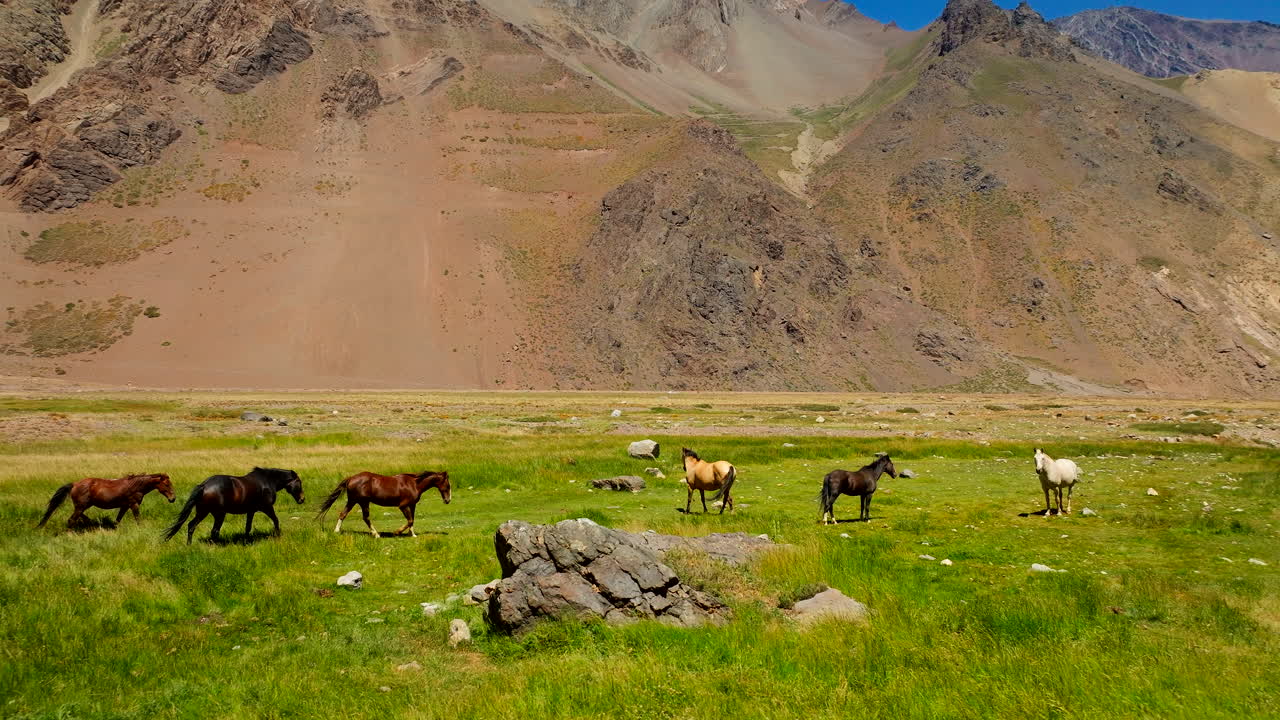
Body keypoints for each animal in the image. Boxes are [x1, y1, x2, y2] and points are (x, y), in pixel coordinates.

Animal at [37, 473, 175, 529]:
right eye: (167, 484)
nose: (173, 499)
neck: (136, 486)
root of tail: (75, 484)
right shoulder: (133, 505)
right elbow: (138, 519)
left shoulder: (124, 506)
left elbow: (117, 520)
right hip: (81, 506)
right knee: (71, 520)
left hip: (83, 506)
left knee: (79, 516)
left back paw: (90, 522)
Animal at [162, 467, 304, 543]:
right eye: (299, 482)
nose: (302, 499)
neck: (268, 481)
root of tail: (204, 485)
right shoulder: (267, 507)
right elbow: (276, 520)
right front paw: (278, 535)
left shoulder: (251, 511)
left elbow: (248, 527)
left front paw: (247, 541)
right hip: (219, 514)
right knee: (214, 531)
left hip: (203, 512)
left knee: (191, 525)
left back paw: (189, 544)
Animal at [316, 470, 451, 538]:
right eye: (448, 485)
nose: (448, 500)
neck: (414, 484)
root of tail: (351, 478)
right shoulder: (403, 506)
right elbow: (410, 520)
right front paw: (397, 532)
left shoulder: (412, 505)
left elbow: (412, 520)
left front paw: (412, 534)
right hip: (362, 502)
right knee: (365, 518)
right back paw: (376, 534)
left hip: (354, 501)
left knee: (343, 514)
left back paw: (336, 531)